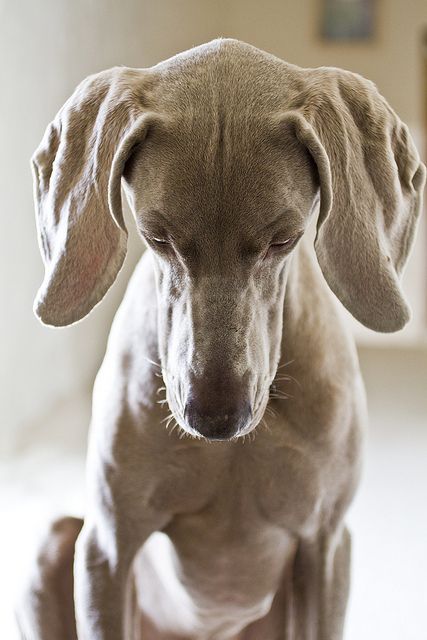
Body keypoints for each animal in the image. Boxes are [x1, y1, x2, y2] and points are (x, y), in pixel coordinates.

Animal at [16, 40, 424, 640]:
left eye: (285, 239)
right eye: (156, 236)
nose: (215, 419)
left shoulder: (326, 547)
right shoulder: (107, 550)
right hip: (56, 539)